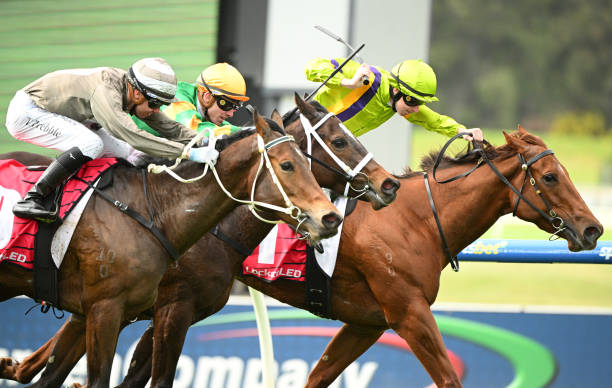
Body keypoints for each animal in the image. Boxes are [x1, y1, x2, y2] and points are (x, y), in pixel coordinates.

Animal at [0, 94, 402, 388]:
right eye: (339, 141)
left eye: (307, 163)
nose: (389, 184)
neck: (159, 209)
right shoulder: (157, 308)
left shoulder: (136, 310)